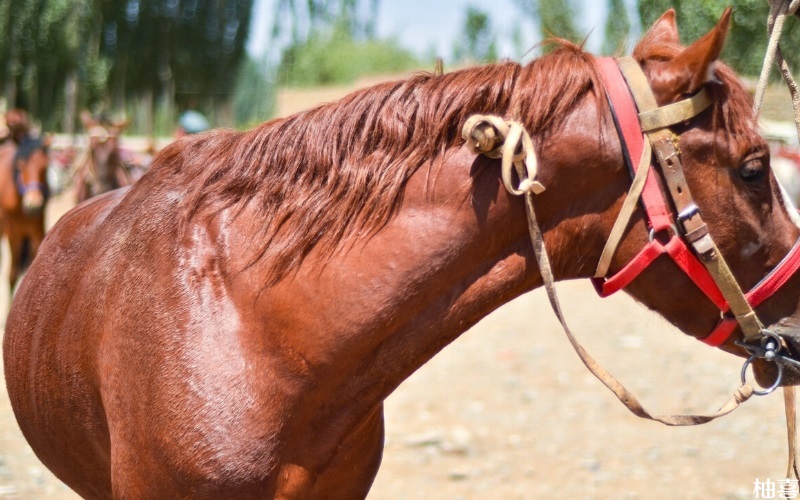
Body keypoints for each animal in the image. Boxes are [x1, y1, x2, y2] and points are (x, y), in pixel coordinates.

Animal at [0, 135, 50, 294]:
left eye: (44, 167)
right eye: (21, 166)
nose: (33, 204)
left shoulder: (37, 227)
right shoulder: (13, 232)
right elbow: (13, 274)